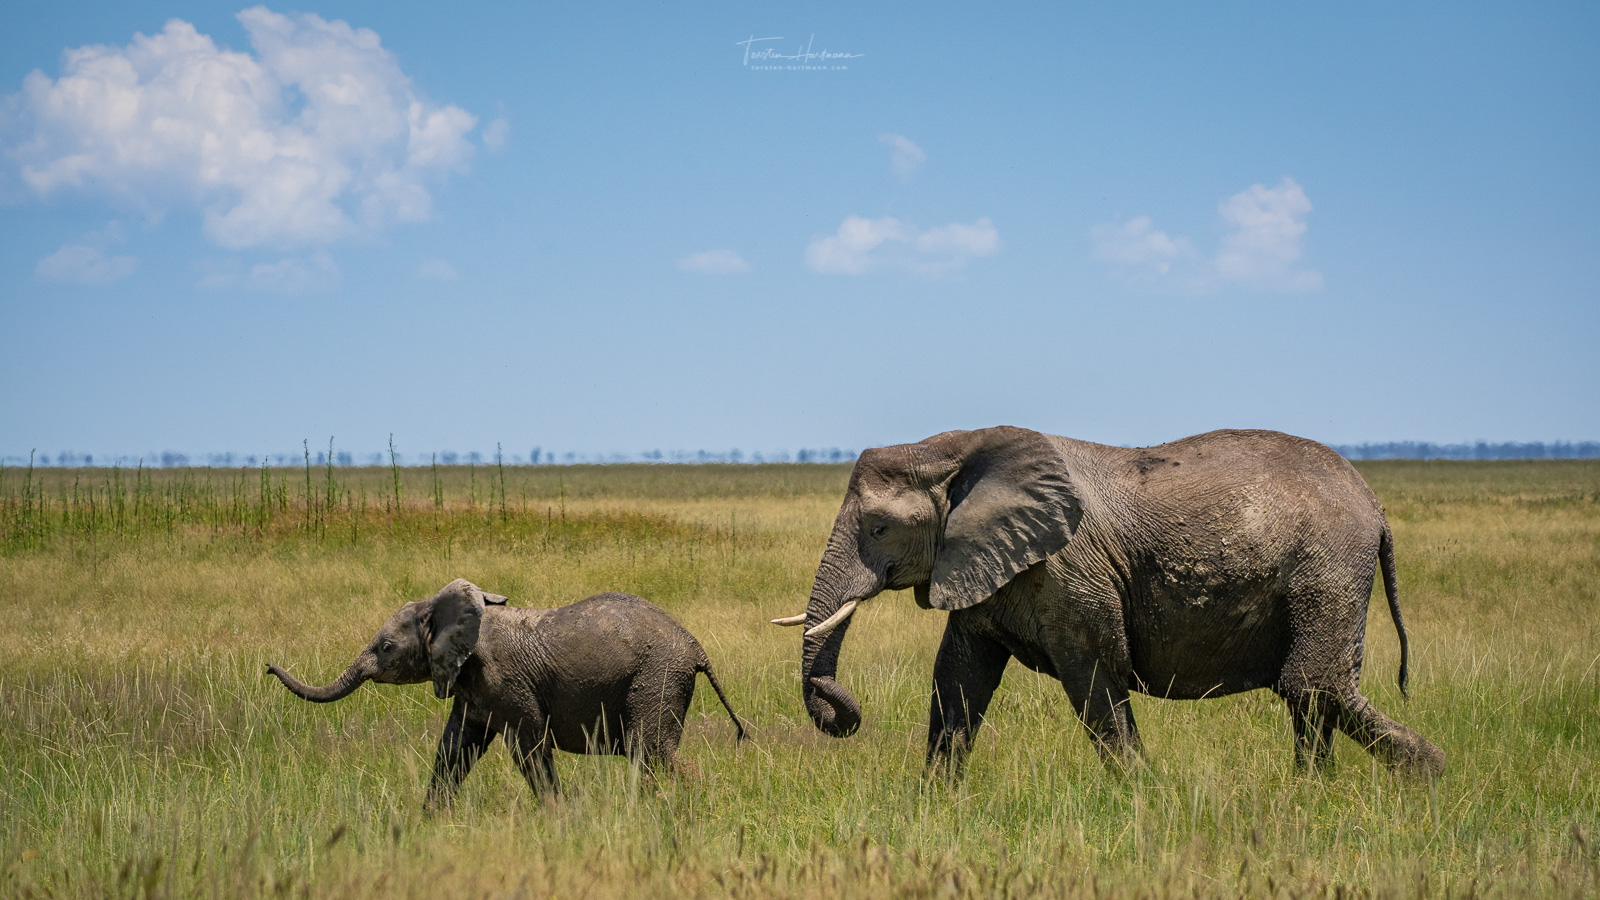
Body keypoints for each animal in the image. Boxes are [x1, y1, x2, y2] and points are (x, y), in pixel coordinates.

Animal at [268, 576, 742, 800]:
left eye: (385, 648)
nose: (268, 666)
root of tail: (696, 647)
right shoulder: (470, 686)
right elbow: (455, 748)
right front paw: (429, 823)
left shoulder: (506, 681)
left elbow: (530, 747)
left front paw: (558, 819)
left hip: (657, 678)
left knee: (652, 751)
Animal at [774, 425, 1452, 771]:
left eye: (879, 529)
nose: (838, 710)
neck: (950, 448)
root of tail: (1376, 506)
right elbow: (959, 679)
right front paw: (935, 806)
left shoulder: (1071, 572)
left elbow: (1096, 680)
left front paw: (1142, 799)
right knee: (1314, 696)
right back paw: (1314, 792)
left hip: (1328, 570)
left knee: (1311, 686)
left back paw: (1428, 774)